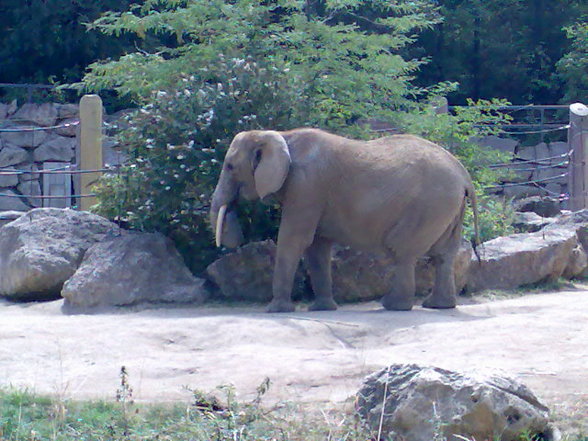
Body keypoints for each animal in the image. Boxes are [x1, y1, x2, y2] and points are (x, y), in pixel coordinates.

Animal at [210, 128, 478, 312]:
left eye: (230, 166)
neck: (281, 136)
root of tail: (464, 174)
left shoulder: (306, 185)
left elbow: (294, 239)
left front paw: (276, 310)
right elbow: (316, 246)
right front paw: (322, 309)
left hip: (429, 204)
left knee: (403, 250)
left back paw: (393, 305)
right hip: (448, 207)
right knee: (443, 255)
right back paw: (437, 305)